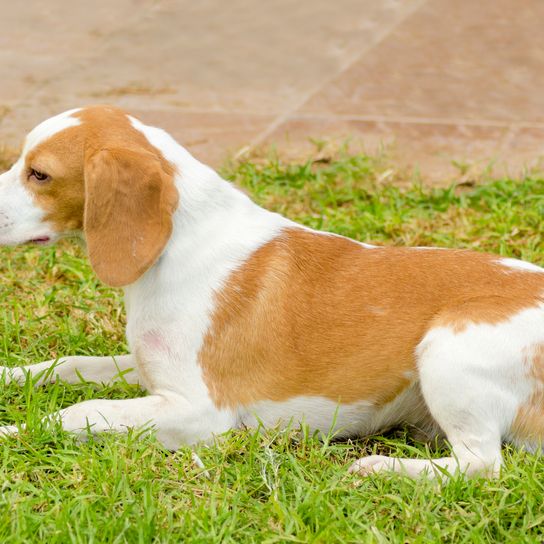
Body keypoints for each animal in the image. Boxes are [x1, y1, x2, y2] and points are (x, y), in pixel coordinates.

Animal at [1, 104, 544, 478]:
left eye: (39, 174)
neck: (178, 245)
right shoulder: (149, 373)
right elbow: (66, 365)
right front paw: (11, 376)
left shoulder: (199, 412)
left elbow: (80, 411)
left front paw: (14, 431)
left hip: (445, 348)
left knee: (480, 465)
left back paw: (381, 469)